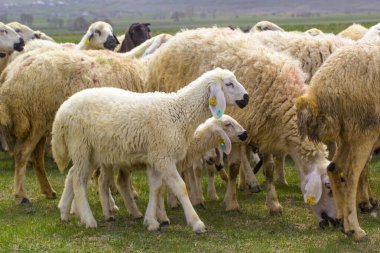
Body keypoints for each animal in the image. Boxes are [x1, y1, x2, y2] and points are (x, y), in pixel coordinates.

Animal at [53, 68, 249, 232]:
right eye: (229, 84)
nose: (246, 98)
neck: (178, 114)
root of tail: (62, 110)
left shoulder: (156, 157)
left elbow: (156, 188)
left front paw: (152, 221)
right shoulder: (164, 157)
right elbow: (180, 187)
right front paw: (196, 223)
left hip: (92, 152)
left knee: (72, 174)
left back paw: (64, 212)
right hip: (80, 145)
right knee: (79, 180)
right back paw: (88, 219)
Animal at [144, 27, 336, 225]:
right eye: (328, 187)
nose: (336, 222)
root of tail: (179, 36)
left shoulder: (266, 131)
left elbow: (269, 169)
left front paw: (273, 203)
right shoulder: (236, 132)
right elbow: (235, 167)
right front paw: (232, 203)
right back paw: (188, 198)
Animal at [296, 39, 380, 241]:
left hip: (348, 135)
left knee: (333, 168)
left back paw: (343, 221)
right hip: (364, 129)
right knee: (350, 176)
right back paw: (355, 230)